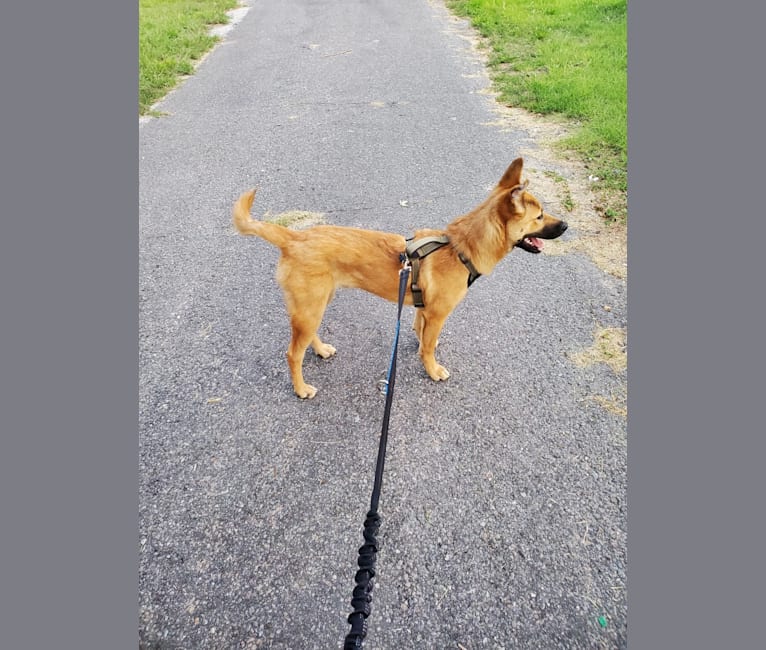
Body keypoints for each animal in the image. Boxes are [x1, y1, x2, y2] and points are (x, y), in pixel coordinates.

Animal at [231, 159, 568, 398]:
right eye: (539, 217)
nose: (565, 225)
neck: (460, 248)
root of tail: (293, 237)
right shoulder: (438, 314)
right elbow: (429, 347)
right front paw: (432, 369)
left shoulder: (424, 310)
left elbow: (421, 334)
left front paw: (421, 346)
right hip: (310, 307)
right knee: (292, 354)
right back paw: (301, 388)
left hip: (316, 304)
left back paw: (321, 349)